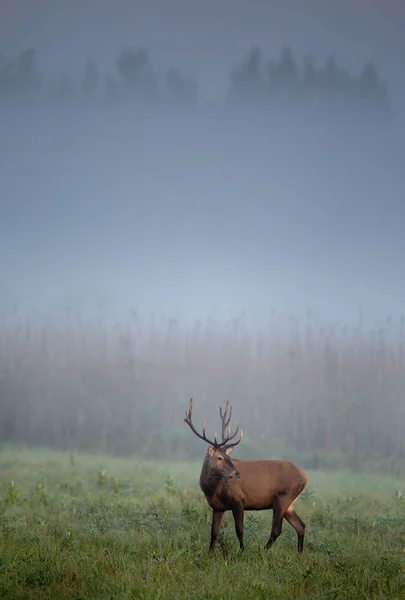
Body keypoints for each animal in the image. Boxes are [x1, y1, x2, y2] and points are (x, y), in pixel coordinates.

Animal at [185, 398, 308, 552]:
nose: (237, 473)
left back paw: (263, 551)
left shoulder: (239, 499)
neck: (212, 490)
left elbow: (239, 530)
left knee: (276, 530)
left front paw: (242, 551)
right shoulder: (217, 507)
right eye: (219, 458)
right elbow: (214, 532)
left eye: (229, 457)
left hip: (282, 497)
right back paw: (299, 554)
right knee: (301, 525)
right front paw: (210, 553)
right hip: (290, 503)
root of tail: (305, 477)